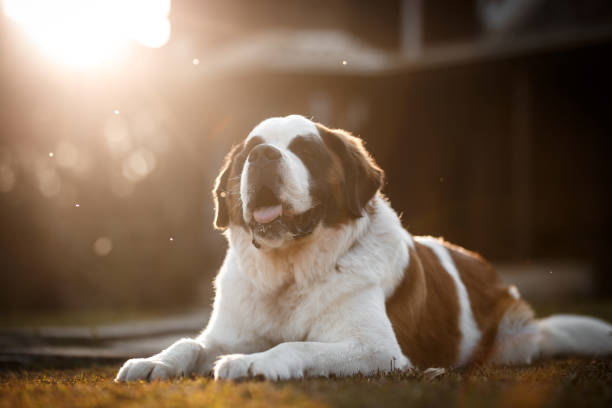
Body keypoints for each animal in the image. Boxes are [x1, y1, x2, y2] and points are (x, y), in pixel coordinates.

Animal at [116, 113, 612, 380]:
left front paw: (250, 363)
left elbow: (300, 345)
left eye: (305, 152)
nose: (262, 156)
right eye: (249, 151)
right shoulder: (225, 332)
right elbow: (189, 342)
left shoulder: (375, 349)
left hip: (512, 337)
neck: (289, 272)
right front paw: (153, 361)